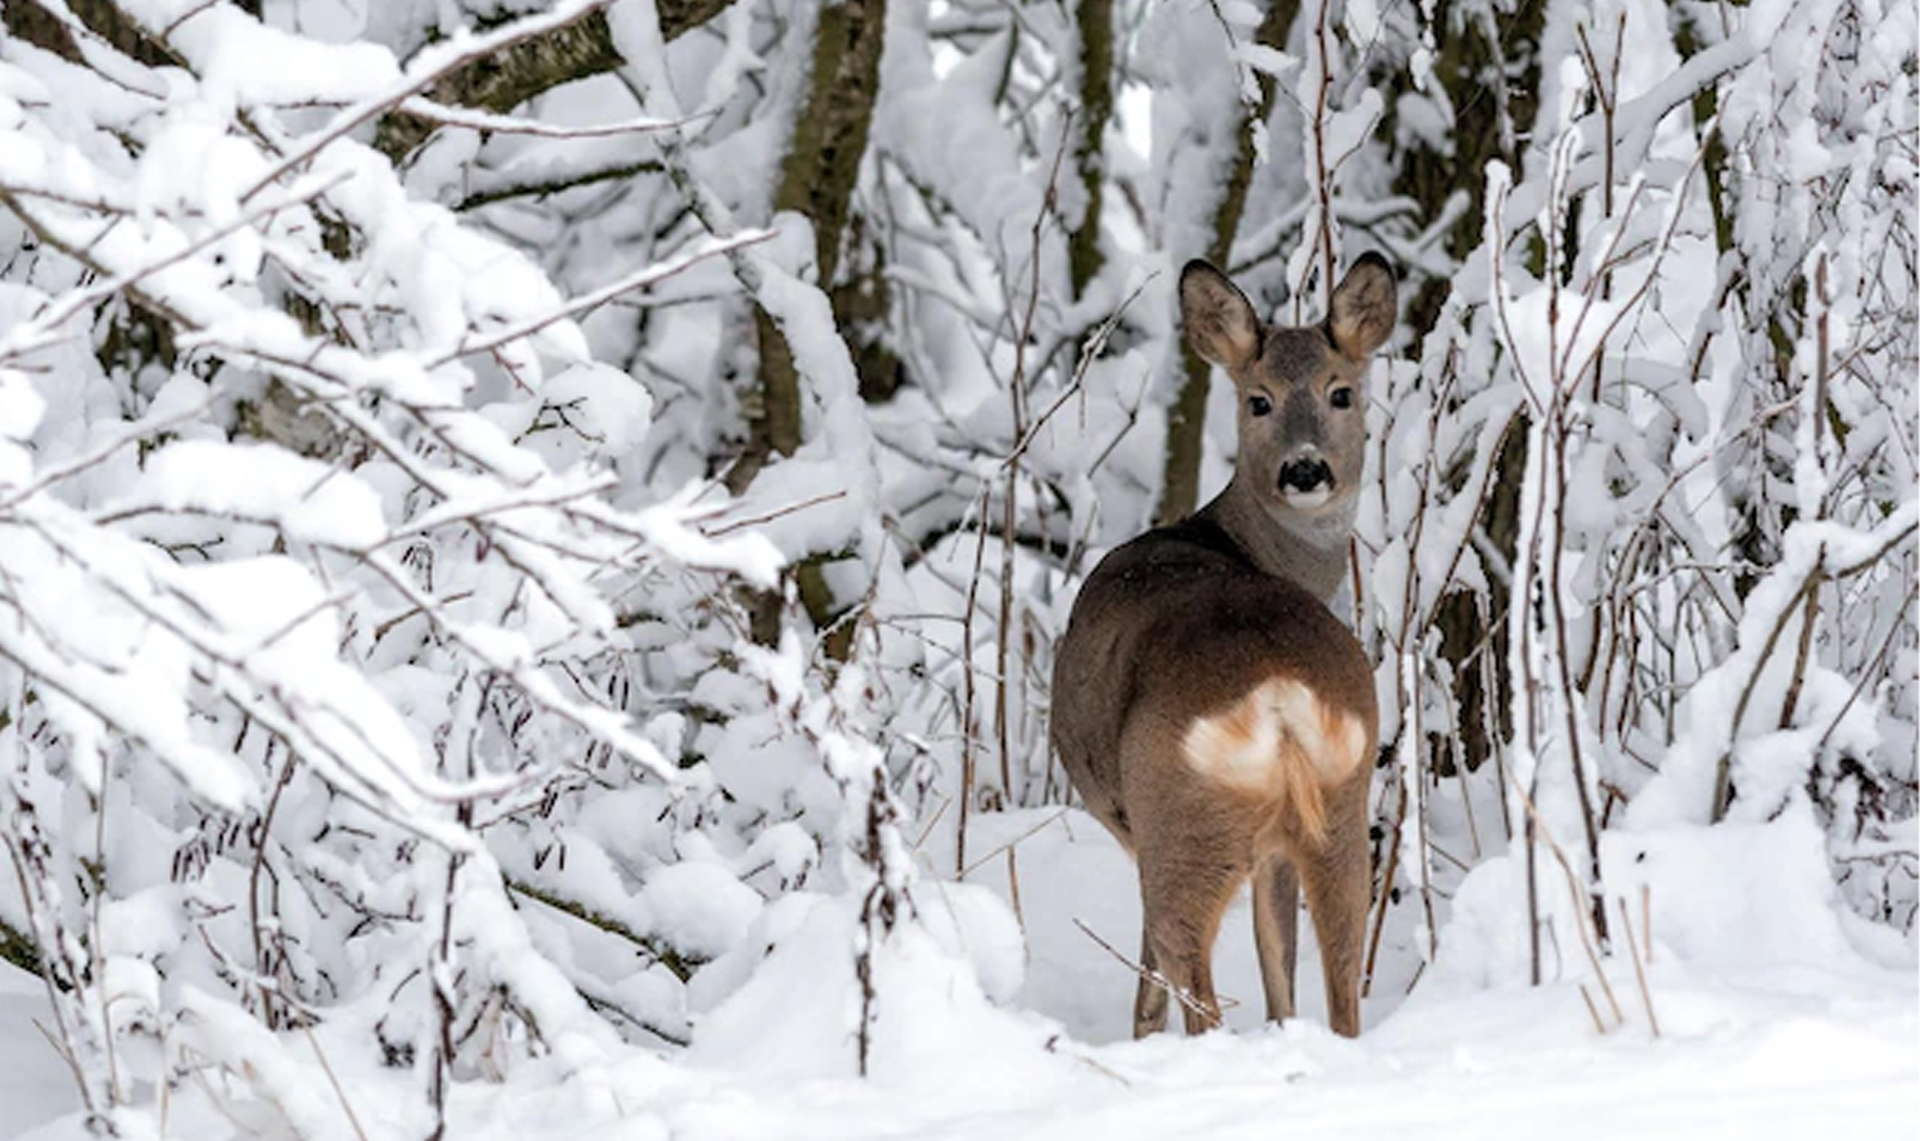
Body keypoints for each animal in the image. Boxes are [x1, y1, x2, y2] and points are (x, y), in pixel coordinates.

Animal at [1052, 253, 1397, 1037]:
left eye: (1341, 392)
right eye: (1258, 401)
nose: (1306, 469)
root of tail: (1277, 692)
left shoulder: (1133, 823)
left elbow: (1150, 984)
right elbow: (1281, 966)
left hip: (1180, 817)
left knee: (1190, 979)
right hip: (1341, 805)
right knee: (1338, 980)